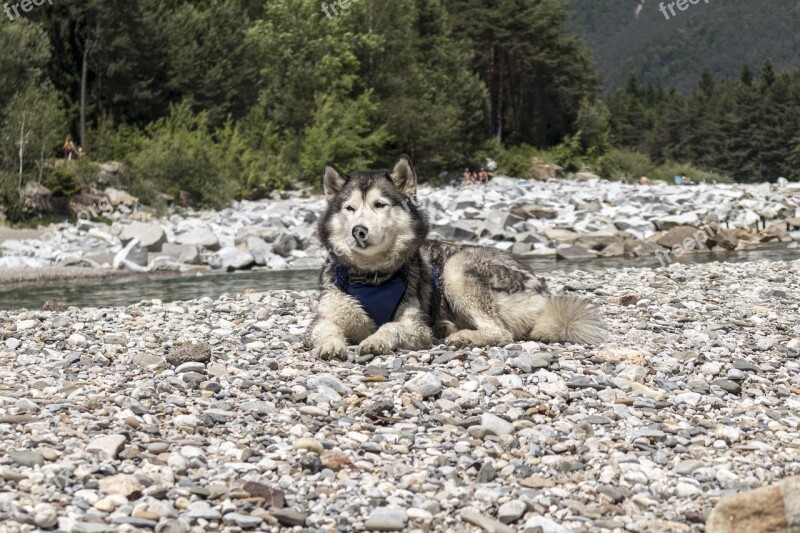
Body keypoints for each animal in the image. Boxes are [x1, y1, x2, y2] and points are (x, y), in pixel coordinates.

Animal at [304, 156, 600, 360]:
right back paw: (447, 328)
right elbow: (325, 329)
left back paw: (464, 336)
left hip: (456, 270)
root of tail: (543, 289)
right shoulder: (326, 316)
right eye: (350, 208)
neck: (370, 278)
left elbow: (391, 327)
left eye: (380, 205)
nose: (359, 231)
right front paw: (331, 344)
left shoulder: (415, 326)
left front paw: (377, 339)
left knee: (501, 331)